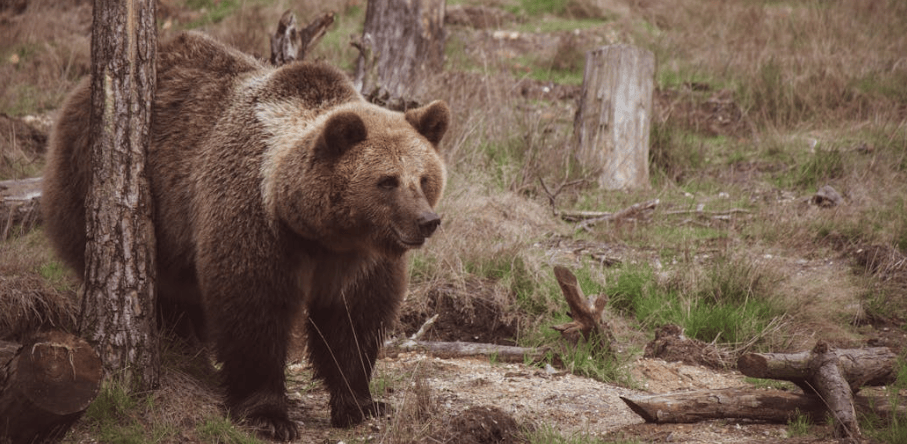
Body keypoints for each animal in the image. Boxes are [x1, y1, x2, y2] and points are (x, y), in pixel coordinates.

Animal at [42, 32, 450, 440]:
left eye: (424, 178)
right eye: (387, 181)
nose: (427, 221)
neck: (317, 230)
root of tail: (79, 92)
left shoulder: (358, 258)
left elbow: (354, 319)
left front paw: (361, 403)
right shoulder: (254, 219)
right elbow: (253, 308)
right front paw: (268, 415)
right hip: (103, 187)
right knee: (167, 290)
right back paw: (183, 346)